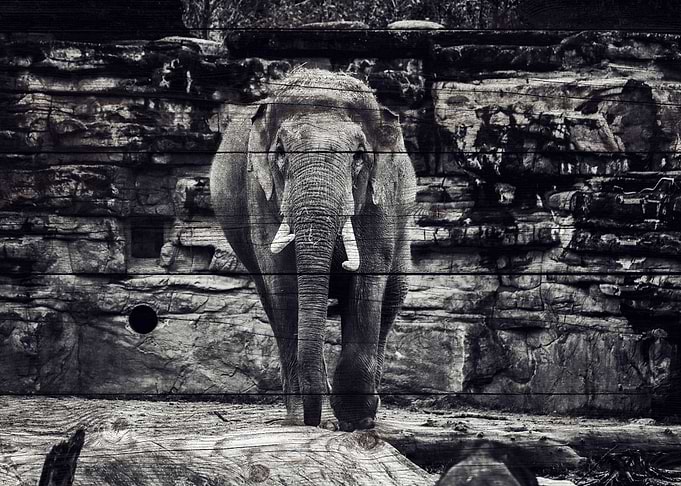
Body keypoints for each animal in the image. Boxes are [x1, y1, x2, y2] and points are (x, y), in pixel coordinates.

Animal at [210, 68, 416, 431]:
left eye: (359, 156)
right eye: (280, 153)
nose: (315, 420)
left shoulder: (382, 198)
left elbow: (368, 280)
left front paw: (357, 421)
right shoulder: (260, 195)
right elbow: (283, 284)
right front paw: (306, 421)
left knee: (392, 294)